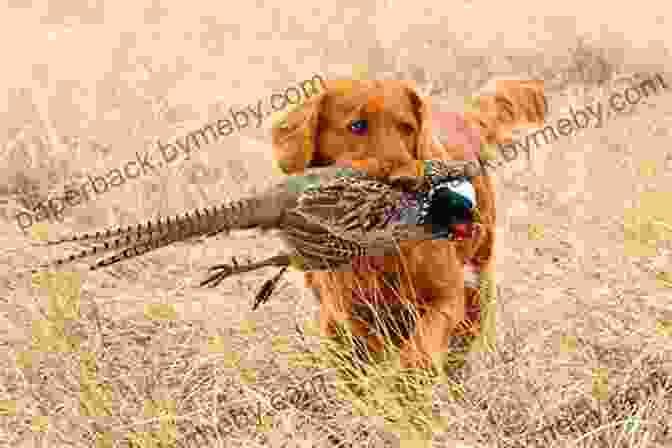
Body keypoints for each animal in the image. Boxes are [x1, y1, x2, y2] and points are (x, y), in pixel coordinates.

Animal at [270, 79, 544, 370]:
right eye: (357, 126)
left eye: (407, 127)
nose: (405, 180)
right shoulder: (348, 309)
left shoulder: (447, 296)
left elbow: (419, 350)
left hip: (477, 280)